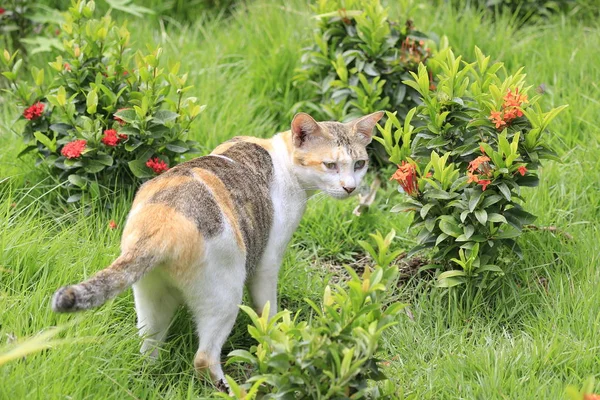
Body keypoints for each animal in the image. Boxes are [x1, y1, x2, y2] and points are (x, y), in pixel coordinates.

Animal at [54, 111, 386, 392]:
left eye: (359, 164)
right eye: (330, 165)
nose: (350, 187)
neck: (281, 156)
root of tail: (163, 223)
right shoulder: (267, 261)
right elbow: (267, 310)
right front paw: (275, 340)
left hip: (150, 297)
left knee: (149, 346)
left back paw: (151, 375)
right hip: (226, 293)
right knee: (204, 357)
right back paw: (231, 389)